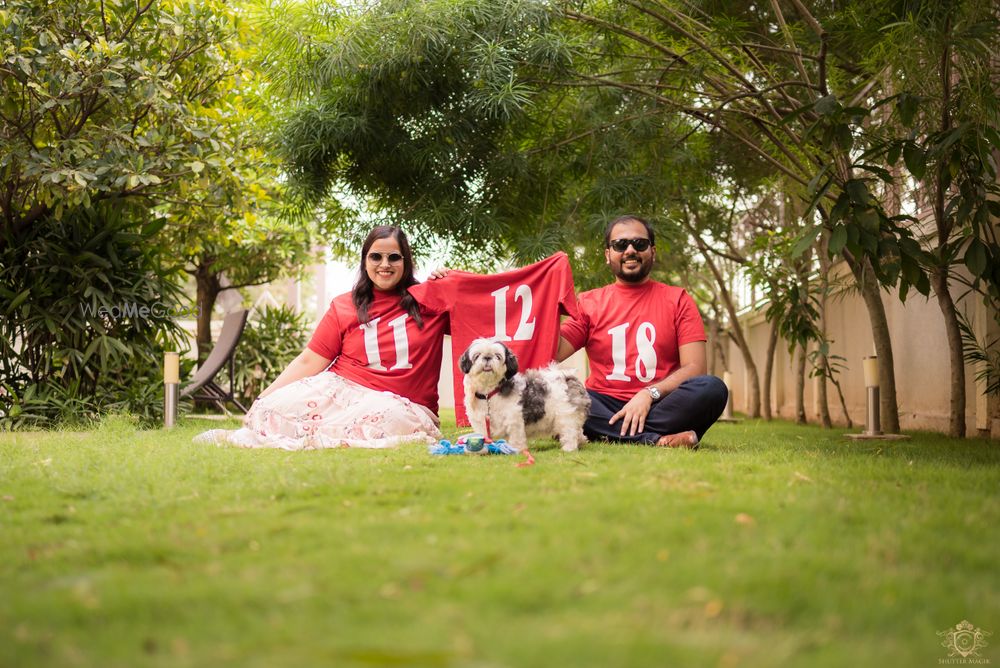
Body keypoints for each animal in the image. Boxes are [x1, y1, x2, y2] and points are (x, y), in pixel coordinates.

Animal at [458, 336, 588, 452]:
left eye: (498, 356)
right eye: (477, 355)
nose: (487, 357)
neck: (488, 395)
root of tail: (567, 378)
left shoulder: (514, 419)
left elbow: (516, 437)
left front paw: (515, 450)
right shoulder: (481, 422)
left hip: (566, 415)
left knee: (570, 432)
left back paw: (569, 448)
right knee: (578, 431)